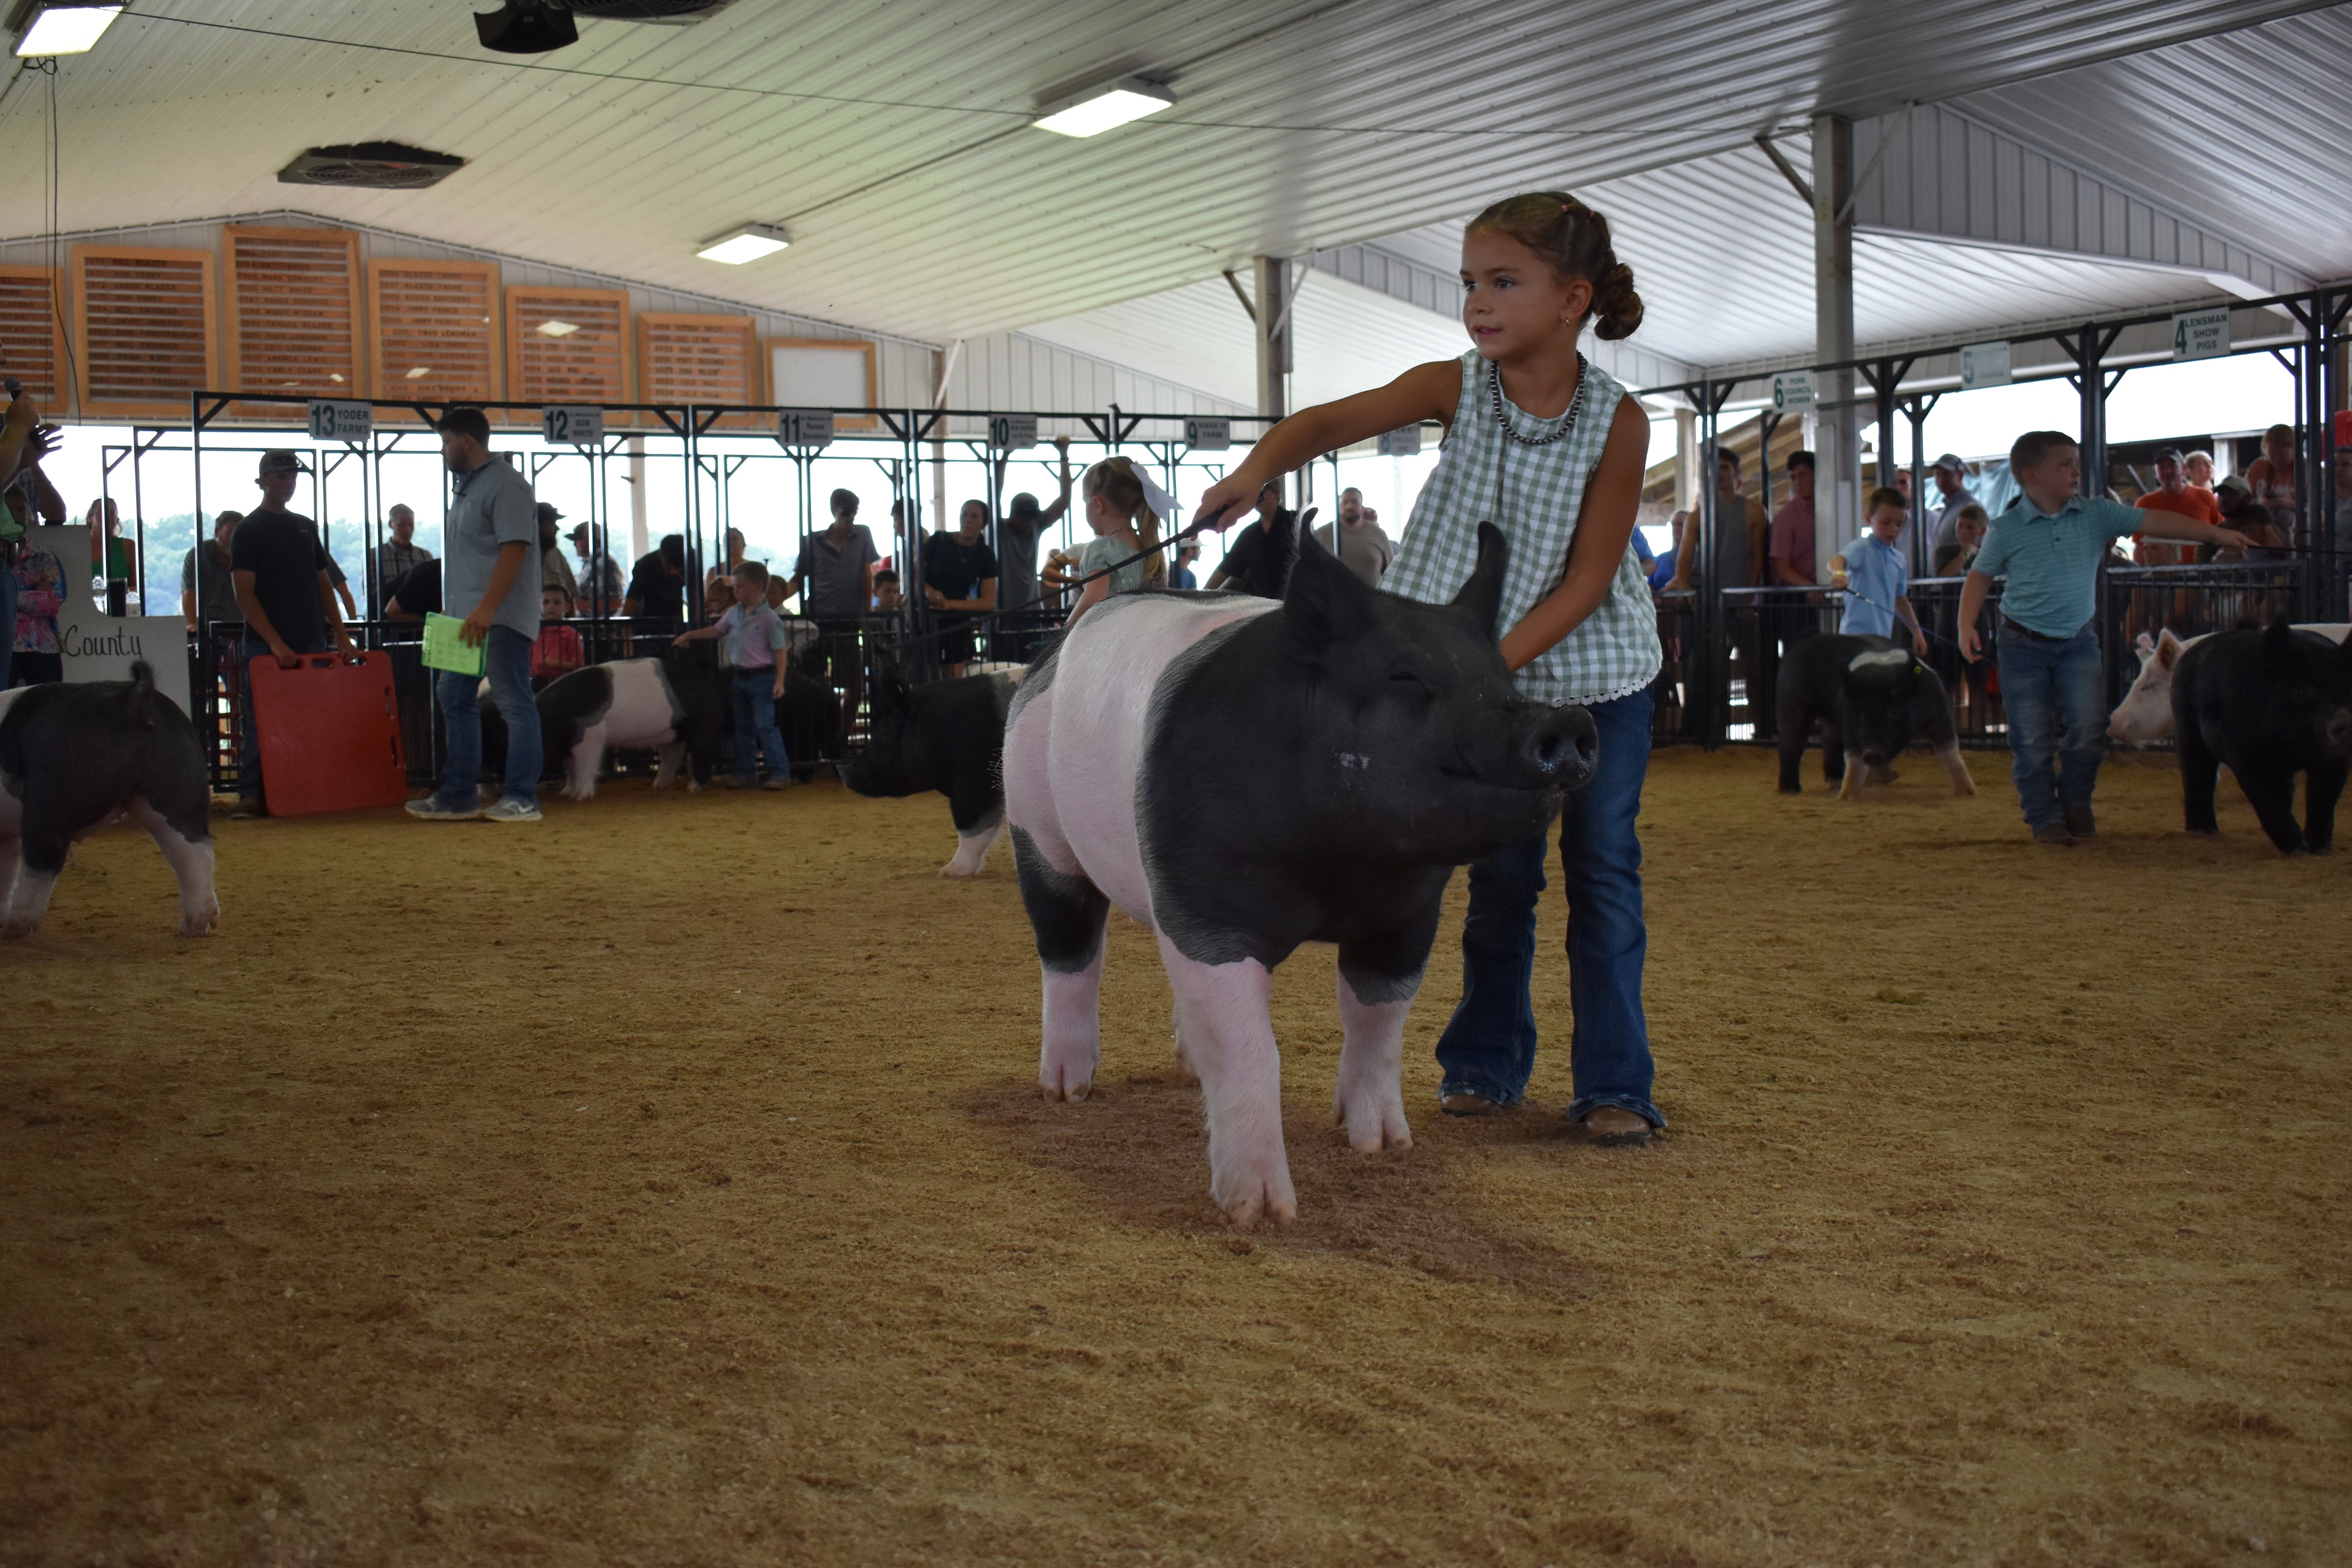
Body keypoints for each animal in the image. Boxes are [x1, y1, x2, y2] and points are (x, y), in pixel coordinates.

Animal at [0, 661, 218, 938]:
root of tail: (136, 695)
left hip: (53, 795)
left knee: (44, 856)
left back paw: (16, 927)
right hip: (176, 793)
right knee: (194, 850)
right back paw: (194, 927)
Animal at [1003, 514, 1597, 1229]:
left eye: (1504, 679)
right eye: (1403, 677)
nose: (1566, 720)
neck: (1340, 867)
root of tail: (1049, 651)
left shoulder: (1407, 917)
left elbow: (1378, 1022)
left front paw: (1383, 1146)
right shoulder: (1208, 906)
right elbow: (1253, 1047)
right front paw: (1262, 1213)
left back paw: (1187, 1073)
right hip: (1034, 824)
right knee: (1067, 952)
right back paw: (1066, 1089)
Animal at [1775, 632, 1975, 799]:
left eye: (1895, 711)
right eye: (1861, 715)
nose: (1871, 753)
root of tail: (1795, 649)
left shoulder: (1940, 713)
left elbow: (1950, 752)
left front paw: (1968, 793)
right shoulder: (1850, 719)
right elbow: (1854, 759)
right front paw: (1846, 797)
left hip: (1833, 720)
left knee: (1829, 739)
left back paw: (1835, 783)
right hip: (1791, 697)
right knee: (1792, 742)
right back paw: (1790, 790)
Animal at [2173, 614, 2352, 854]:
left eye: (2349, 689)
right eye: (2302, 691)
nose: (2346, 721)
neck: (2289, 746)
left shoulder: (2335, 761)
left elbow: (2323, 801)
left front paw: (2319, 850)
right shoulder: (2244, 752)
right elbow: (2266, 798)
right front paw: (2298, 849)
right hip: (2186, 726)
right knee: (2197, 773)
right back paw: (2204, 831)